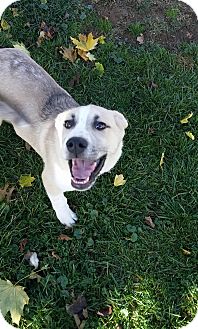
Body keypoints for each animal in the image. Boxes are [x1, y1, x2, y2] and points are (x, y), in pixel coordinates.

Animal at [0, 48, 127, 227]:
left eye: (100, 125)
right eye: (67, 124)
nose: (75, 143)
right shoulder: (47, 177)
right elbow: (58, 198)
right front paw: (65, 216)